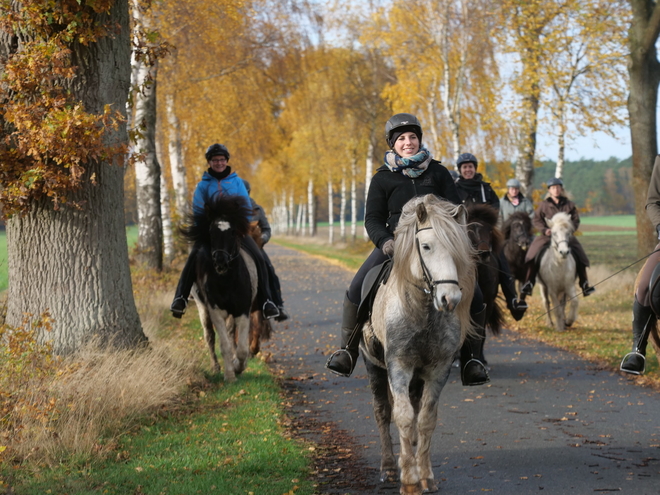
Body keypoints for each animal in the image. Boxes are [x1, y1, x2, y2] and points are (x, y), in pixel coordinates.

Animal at [182, 196, 270, 382]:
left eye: (232, 232)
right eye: (211, 232)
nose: (221, 262)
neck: (227, 280)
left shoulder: (243, 309)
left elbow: (242, 346)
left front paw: (239, 366)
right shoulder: (216, 311)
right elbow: (224, 344)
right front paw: (230, 374)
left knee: (231, 334)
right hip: (202, 307)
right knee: (209, 335)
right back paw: (215, 367)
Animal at [358, 195, 476, 495]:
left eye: (457, 248)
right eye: (426, 246)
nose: (450, 298)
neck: (422, 311)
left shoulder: (437, 370)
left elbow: (424, 419)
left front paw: (425, 476)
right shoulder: (398, 366)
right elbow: (401, 416)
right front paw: (409, 480)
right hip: (374, 367)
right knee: (382, 412)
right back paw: (390, 467)